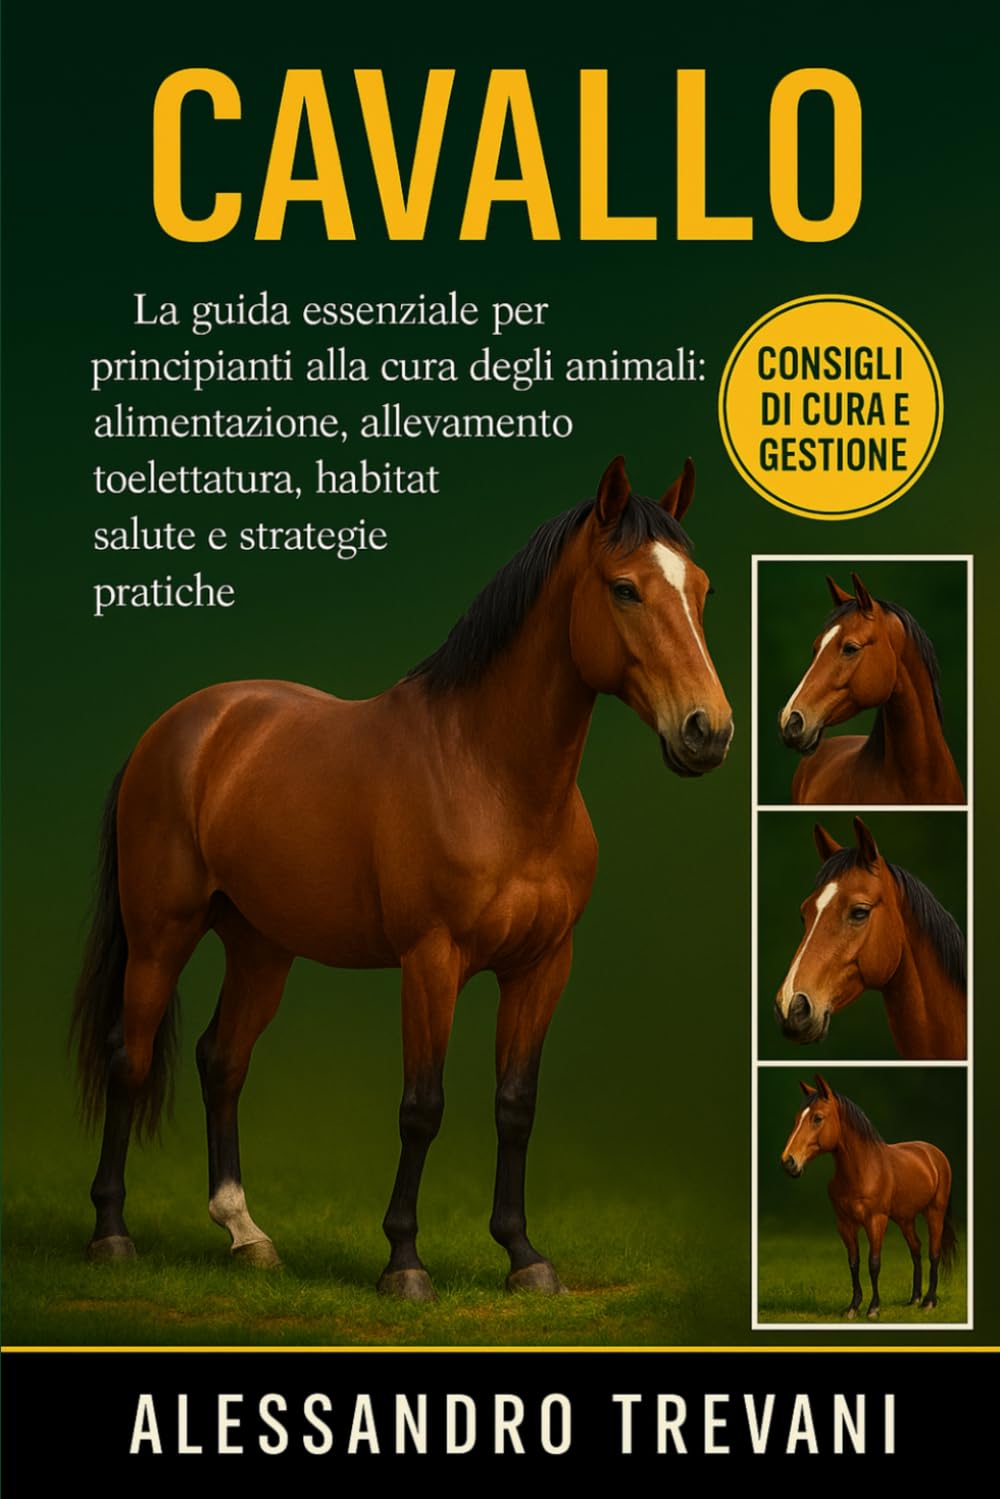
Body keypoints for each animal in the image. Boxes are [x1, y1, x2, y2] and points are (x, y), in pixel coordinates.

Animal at [71, 455, 733, 1301]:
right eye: (625, 587)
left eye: (701, 588)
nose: (707, 730)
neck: (491, 773)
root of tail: (180, 727)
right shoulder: (431, 961)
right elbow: (423, 1105)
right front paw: (405, 1261)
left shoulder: (542, 967)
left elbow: (515, 1105)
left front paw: (524, 1254)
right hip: (162, 937)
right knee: (131, 1054)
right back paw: (112, 1232)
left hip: (261, 947)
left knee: (223, 1060)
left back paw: (246, 1234)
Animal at [780, 1075, 956, 1319]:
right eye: (798, 1119)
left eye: (817, 1118)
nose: (789, 1162)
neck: (863, 1169)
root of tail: (933, 1153)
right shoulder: (845, 1225)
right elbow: (854, 1263)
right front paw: (853, 1307)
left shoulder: (876, 1221)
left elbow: (874, 1263)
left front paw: (873, 1308)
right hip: (905, 1218)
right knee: (916, 1248)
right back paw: (914, 1299)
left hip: (934, 1212)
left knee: (934, 1252)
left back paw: (929, 1301)